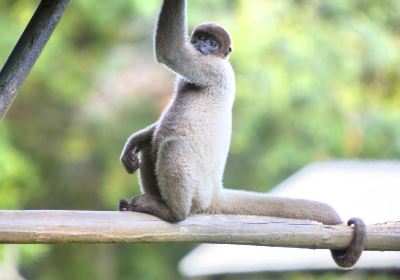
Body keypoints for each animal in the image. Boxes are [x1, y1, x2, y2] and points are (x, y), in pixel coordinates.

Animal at [119, 0, 366, 268]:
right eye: (201, 38)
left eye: (212, 43)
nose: (202, 47)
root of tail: (214, 192)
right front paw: (133, 142)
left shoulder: (213, 68)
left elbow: (170, 52)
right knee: (152, 145)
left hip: (197, 192)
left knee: (171, 145)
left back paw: (173, 212)